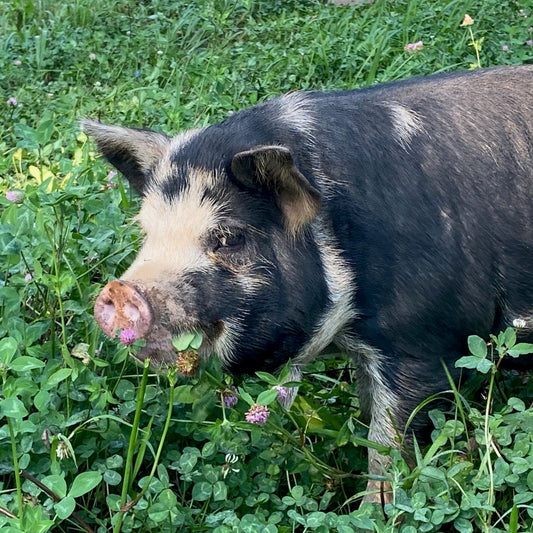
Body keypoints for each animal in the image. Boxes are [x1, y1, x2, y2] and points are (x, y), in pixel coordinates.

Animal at [86, 64, 532, 500]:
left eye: (229, 237)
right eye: (146, 232)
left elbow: (389, 443)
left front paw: (371, 509)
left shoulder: (422, 341)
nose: (119, 290)